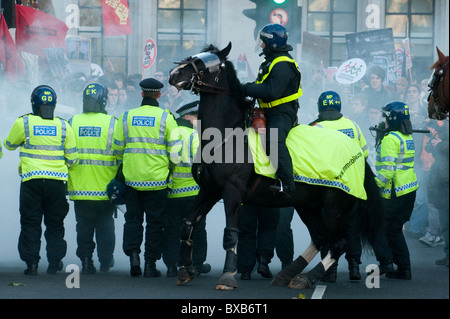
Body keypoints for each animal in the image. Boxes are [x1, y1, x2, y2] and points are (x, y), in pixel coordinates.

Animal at [169, 42, 384, 290]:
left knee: (338, 243)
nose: (174, 74)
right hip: (307, 205)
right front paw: (185, 270)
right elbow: (187, 224)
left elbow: (231, 233)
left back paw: (308, 277)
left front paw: (227, 276)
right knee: (320, 238)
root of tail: (357, 152)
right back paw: (289, 274)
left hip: (333, 206)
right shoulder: (209, 191)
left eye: (205, 62)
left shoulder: (232, 191)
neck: (224, 136)